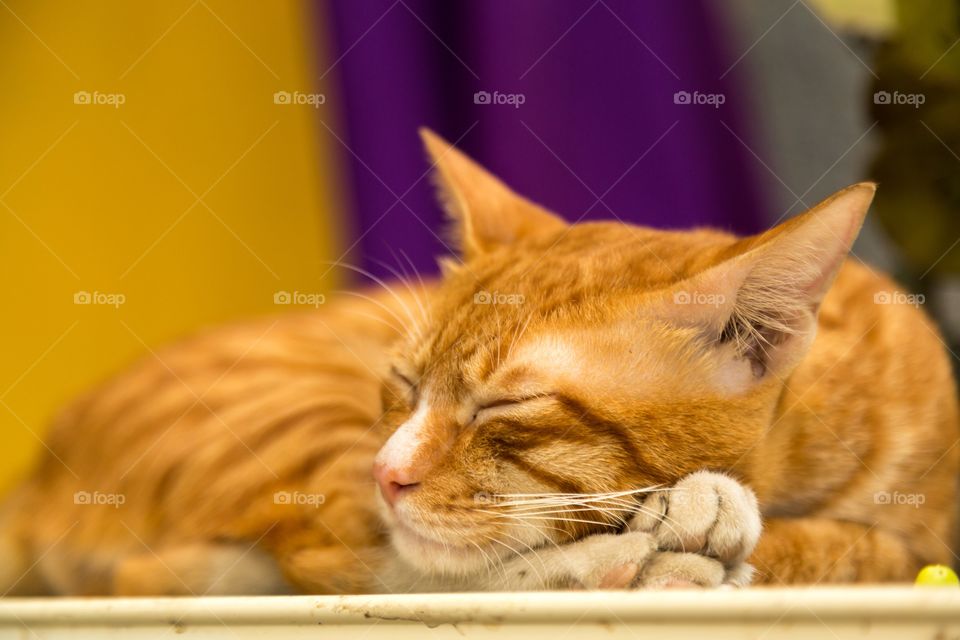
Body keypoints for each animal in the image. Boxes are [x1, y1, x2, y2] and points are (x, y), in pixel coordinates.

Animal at [1, 130, 960, 596]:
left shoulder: (922, 528)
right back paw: (639, 556)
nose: (385, 473)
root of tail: (38, 475)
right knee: (341, 559)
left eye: (503, 409)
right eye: (402, 384)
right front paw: (683, 532)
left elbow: (860, 548)